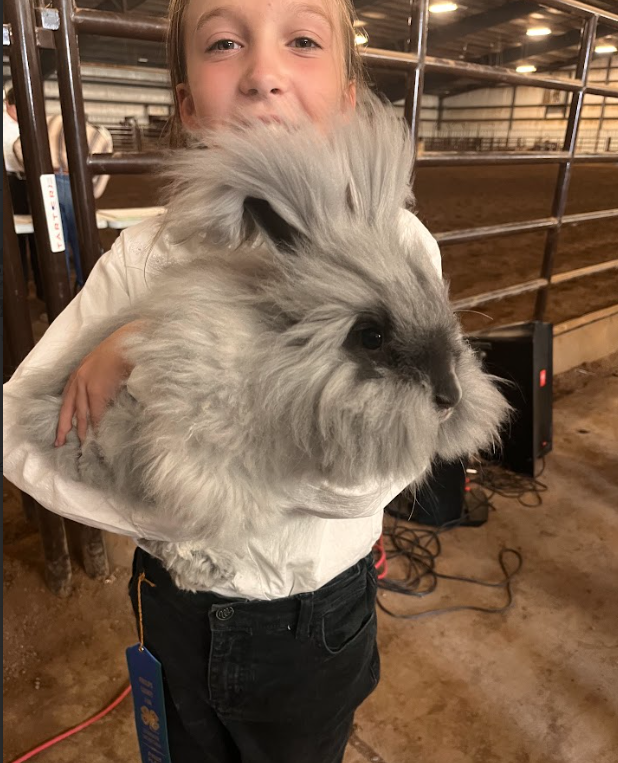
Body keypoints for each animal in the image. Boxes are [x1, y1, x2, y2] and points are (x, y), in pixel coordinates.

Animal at [14, 97, 508, 592]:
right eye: (372, 336)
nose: (450, 396)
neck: (272, 354)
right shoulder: (194, 460)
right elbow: (209, 513)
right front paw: (205, 564)